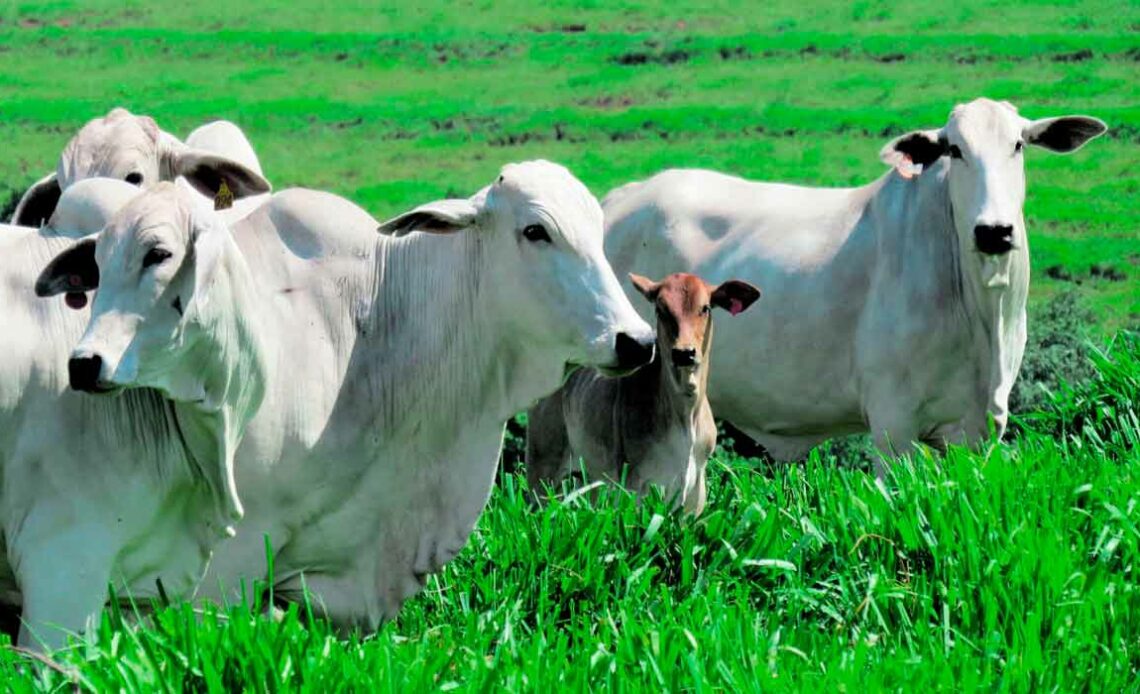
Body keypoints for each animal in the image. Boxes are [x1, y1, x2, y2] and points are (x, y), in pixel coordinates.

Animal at [522, 271, 756, 515]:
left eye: (705, 308)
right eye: (661, 309)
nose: (684, 353)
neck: (686, 417)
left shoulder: (695, 493)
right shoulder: (636, 484)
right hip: (542, 466)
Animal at [601, 98, 1108, 471]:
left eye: (1018, 145)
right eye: (954, 149)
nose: (993, 231)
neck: (983, 311)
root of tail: (619, 200)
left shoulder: (980, 429)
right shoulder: (893, 424)